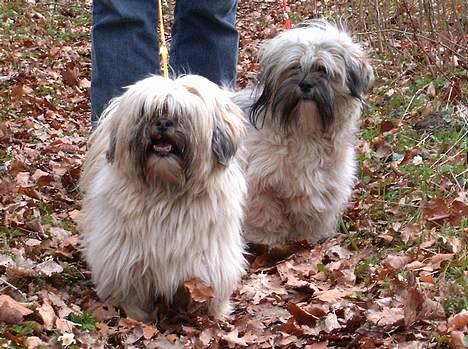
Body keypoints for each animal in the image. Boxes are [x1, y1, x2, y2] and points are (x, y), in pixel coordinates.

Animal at [79, 75, 249, 320]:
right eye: (146, 112)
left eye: (184, 114)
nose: (163, 123)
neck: (166, 192)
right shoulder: (125, 261)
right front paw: (138, 317)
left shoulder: (210, 261)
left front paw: (214, 314)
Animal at [233, 19, 372, 245]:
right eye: (294, 67)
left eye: (323, 69)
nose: (305, 84)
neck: (305, 132)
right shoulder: (261, 184)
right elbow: (266, 214)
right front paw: (268, 239)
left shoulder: (326, 181)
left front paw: (310, 236)